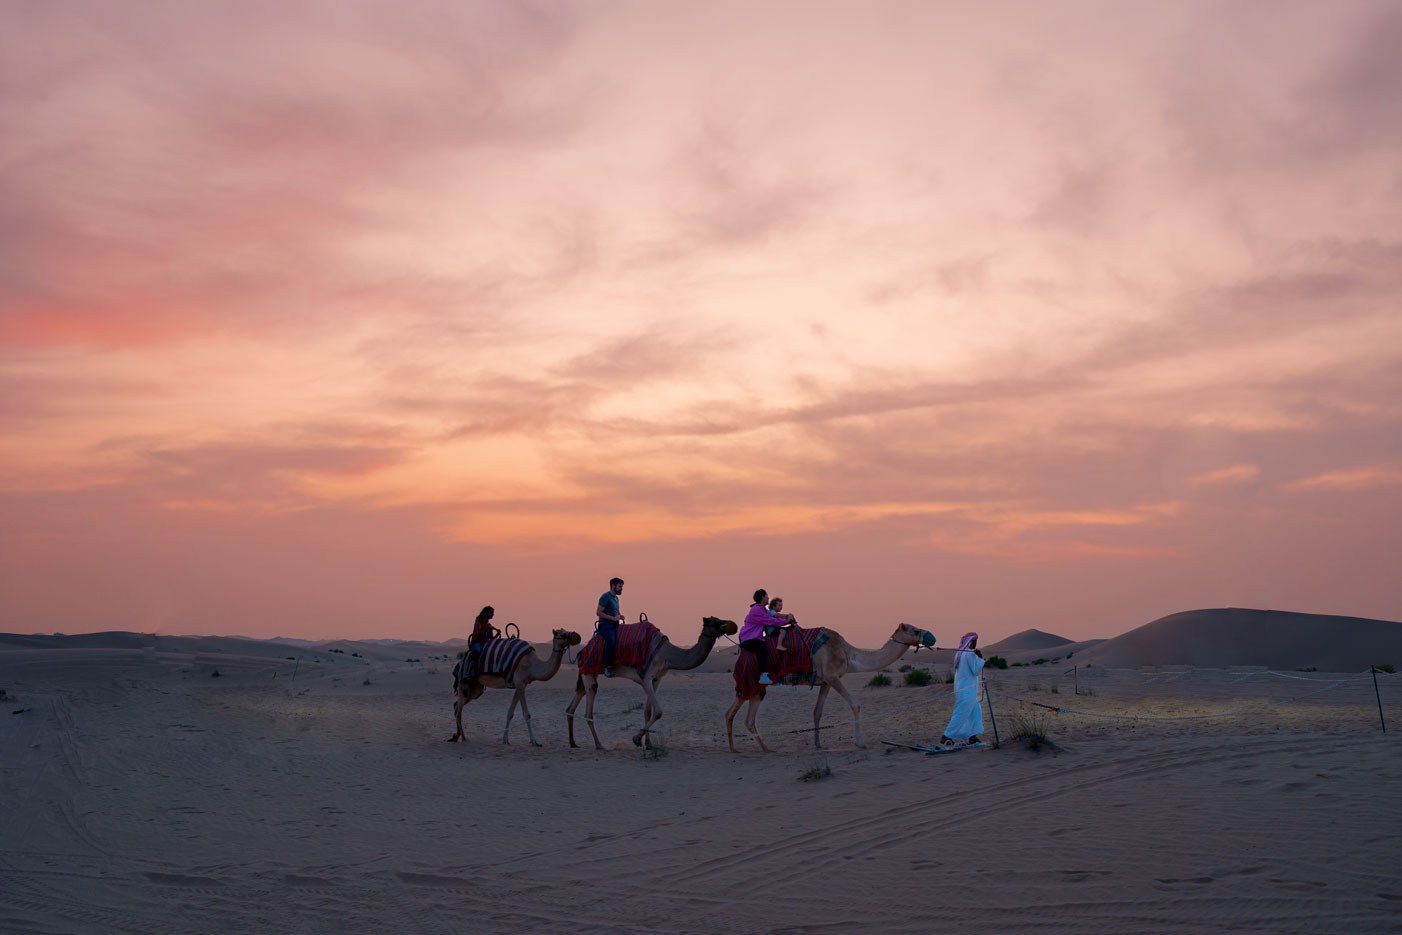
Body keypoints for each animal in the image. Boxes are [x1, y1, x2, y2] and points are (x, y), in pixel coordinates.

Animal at [448, 628, 580, 745]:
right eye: (562, 634)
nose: (578, 637)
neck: (532, 665)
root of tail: (460, 662)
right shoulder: (519, 682)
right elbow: (526, 714)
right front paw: (534, 741)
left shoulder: (521, 684)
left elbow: (510, 712)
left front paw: (505, 740)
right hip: (463, 682)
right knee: (458, 710)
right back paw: (463, 738)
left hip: (476, 688)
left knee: (456, 706)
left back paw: (456, 736)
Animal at [563, 613, 740, 751]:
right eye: (716, 622)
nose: (734, 625)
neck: (666, 654)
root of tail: (581, 652)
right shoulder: (645, 678)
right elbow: (659, 711)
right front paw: (636, 739)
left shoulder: (657, 679)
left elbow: (648, 711)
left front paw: (648, 743)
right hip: (589, 672)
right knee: (588, 709)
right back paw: (599, 745)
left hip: (588, 674)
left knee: (573, 704)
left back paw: (573, 743)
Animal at [723, 625, 930, 756]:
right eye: (915, 630)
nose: (929, 636)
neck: (848, 653)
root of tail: (741, 653)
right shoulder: (832, 676)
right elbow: (855, 704)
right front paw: (860, 743)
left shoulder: (825, 682)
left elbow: (817, 712)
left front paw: (818, 744)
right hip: (751, 682)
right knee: (737, 714)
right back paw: (746, 749)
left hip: (755, 689)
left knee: (741, 717)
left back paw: (755, 749)